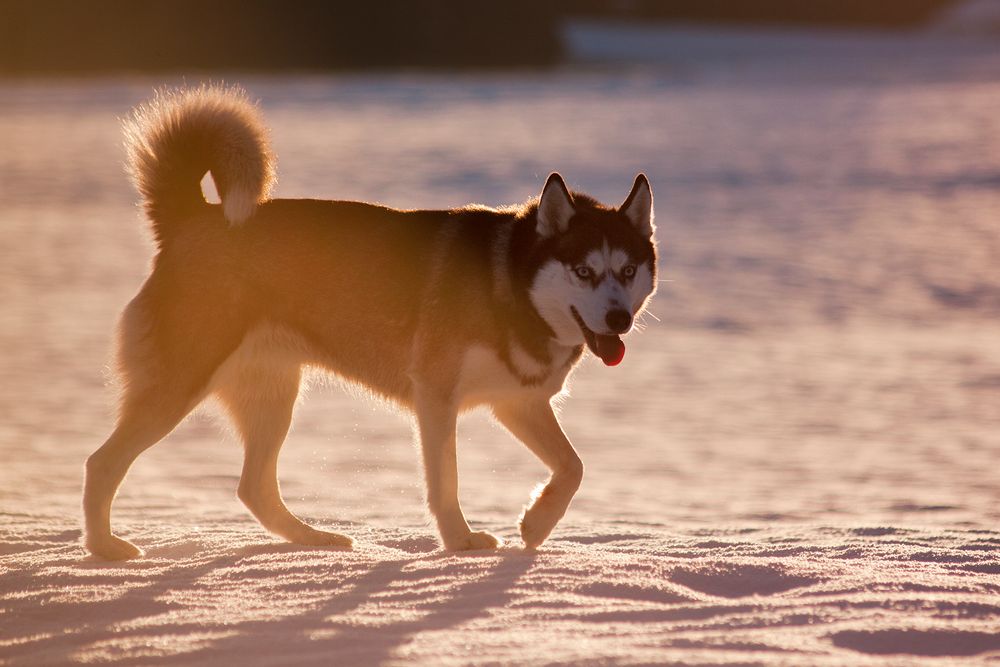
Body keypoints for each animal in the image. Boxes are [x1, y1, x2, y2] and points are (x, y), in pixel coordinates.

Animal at [84, 86, 656, 560]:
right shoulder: (436, 396)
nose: (619, 317)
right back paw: (104, 549)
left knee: (254, 487)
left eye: (628, 271)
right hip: (180, 384)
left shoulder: (516, 402)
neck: (511, 288)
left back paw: (314, 539)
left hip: (274, 393)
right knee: (102, 463)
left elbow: (573, 467)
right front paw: (460, 543)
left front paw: (536, 524)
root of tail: (191, 217)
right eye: (584, 271)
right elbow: (445, 483)